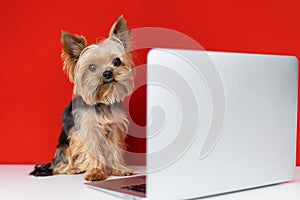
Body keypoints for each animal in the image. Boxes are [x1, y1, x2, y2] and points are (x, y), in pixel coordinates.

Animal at [29, 16, 135, 181]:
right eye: (92, 67)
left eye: (116, 61)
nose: (107, 73)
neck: (102, 101)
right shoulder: (87, 131)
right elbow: (93, 150)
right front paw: (96, 172)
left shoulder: (114, 129)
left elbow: (114, 149)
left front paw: (118, 169)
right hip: (65, 146)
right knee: (60, 166)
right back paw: (73, 169)